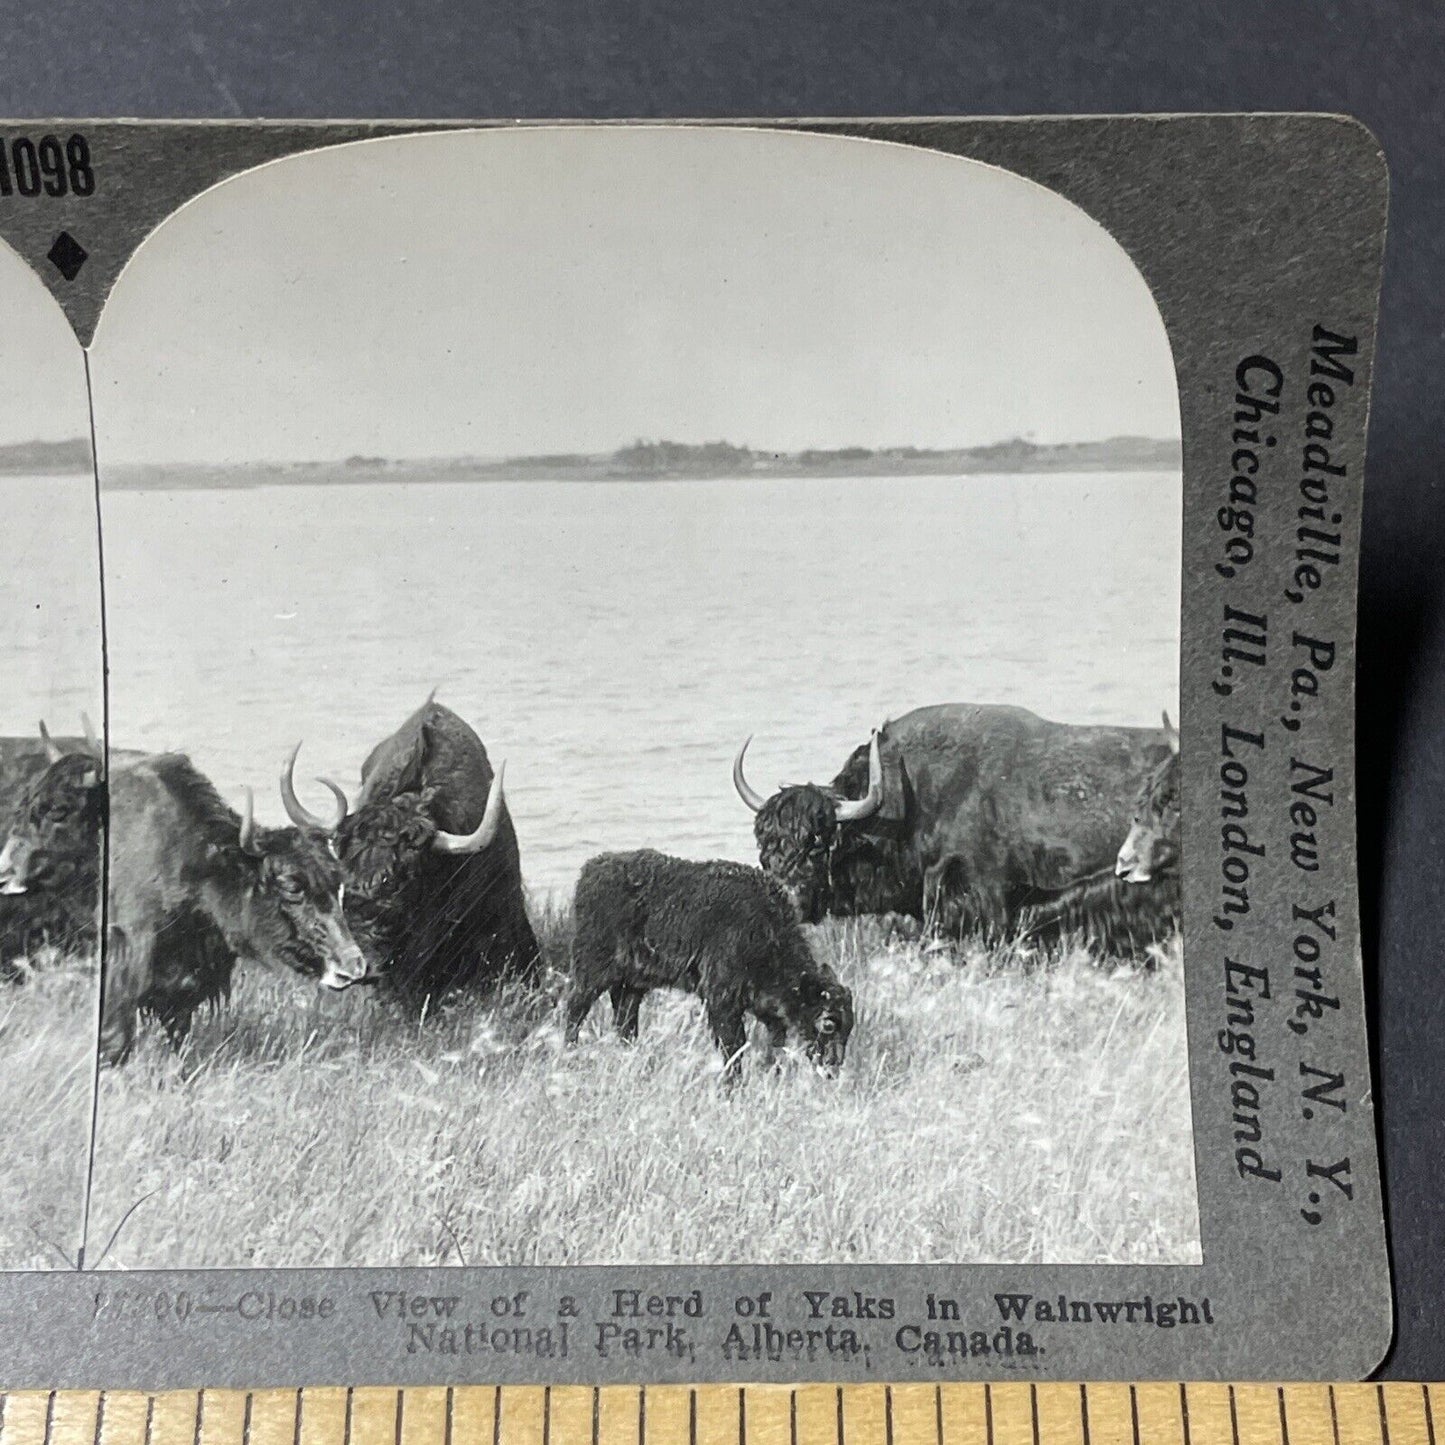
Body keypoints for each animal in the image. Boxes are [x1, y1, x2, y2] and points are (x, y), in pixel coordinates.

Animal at [566, 849, 855, 1080]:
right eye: (828, 1023)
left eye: (849, 1026)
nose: (832, 1067)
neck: (767, 931)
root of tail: (591, 870)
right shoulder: (721, 1000)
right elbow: (733, 1048)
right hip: (592, 971)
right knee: (576, 1009)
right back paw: (569, 1054)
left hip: (632, 983)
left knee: (625, 1019)